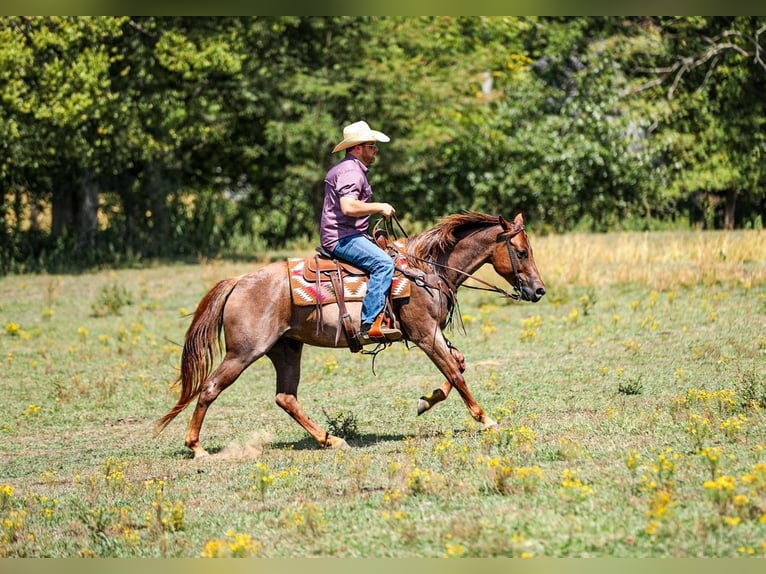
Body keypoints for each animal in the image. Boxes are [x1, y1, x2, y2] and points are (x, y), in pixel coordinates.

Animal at [156, 211, 546, 457]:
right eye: (521, 251)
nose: (539, 290)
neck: (426, 270)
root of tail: (239, 281)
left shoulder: (432, 333)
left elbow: (458, 366)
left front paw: (426, 401)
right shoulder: (424, 334)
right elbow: (455, 372)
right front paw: (486, 419)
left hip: (286, 349)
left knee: (286, 398)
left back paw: (331, 440)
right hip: (244, 352)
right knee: (210, 388)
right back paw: (197, 448)